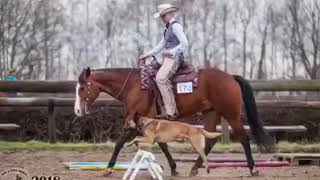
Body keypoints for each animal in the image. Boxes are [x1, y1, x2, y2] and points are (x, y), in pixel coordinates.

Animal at [74, 65, 274, 176]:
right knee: (210, 140)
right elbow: (162, 145)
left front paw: (108, 168)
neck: (134, 86)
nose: (77, 110)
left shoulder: (135, 122)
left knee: (244, 139)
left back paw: (252, 169)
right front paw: (174, 168)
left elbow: (120, 143)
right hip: (210, 113)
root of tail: (230, 77)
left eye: (82, 88)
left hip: (231, 115)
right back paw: (194, 169)